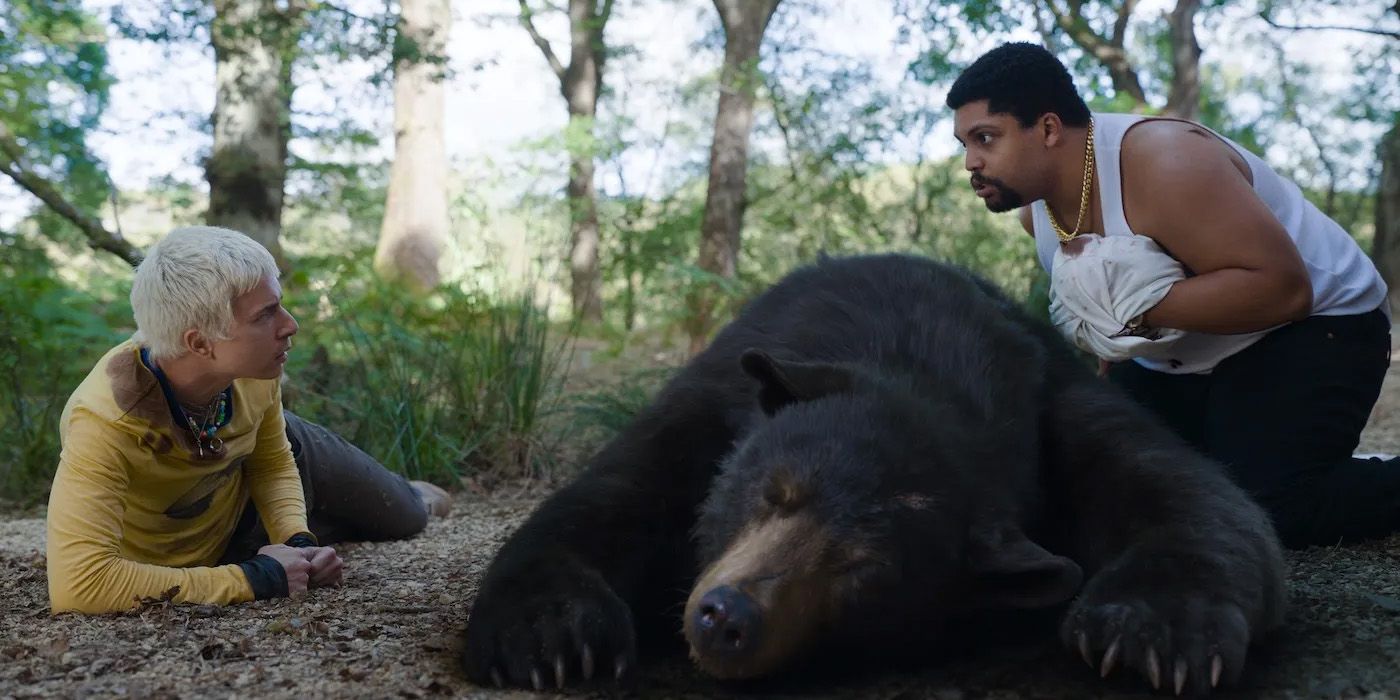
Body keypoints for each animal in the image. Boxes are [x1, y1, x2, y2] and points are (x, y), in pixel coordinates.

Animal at [460, 253, 1286, 695]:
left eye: (863, 569)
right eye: (773, 494)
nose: (727, 616)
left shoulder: (1056, 399)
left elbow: (1192, 495)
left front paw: (1153, 632)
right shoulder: (717, 396)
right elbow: (613, 495)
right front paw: (555, 634)